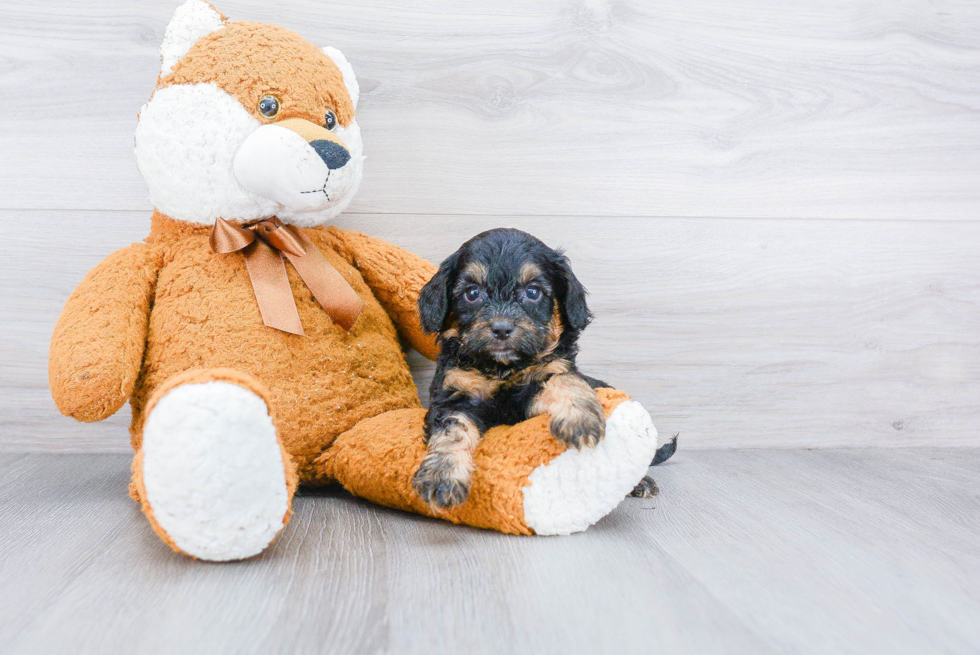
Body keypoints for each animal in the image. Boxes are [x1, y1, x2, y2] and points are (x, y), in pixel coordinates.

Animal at [414, 228, 672, 510]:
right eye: (472, 293)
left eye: (533, 292)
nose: (502, 328)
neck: (502, 368)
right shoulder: (454, 394)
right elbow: (452, 432)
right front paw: (442, 476)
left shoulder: (546, 375)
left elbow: (565, 380)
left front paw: (580, 418)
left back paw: (641, 482)